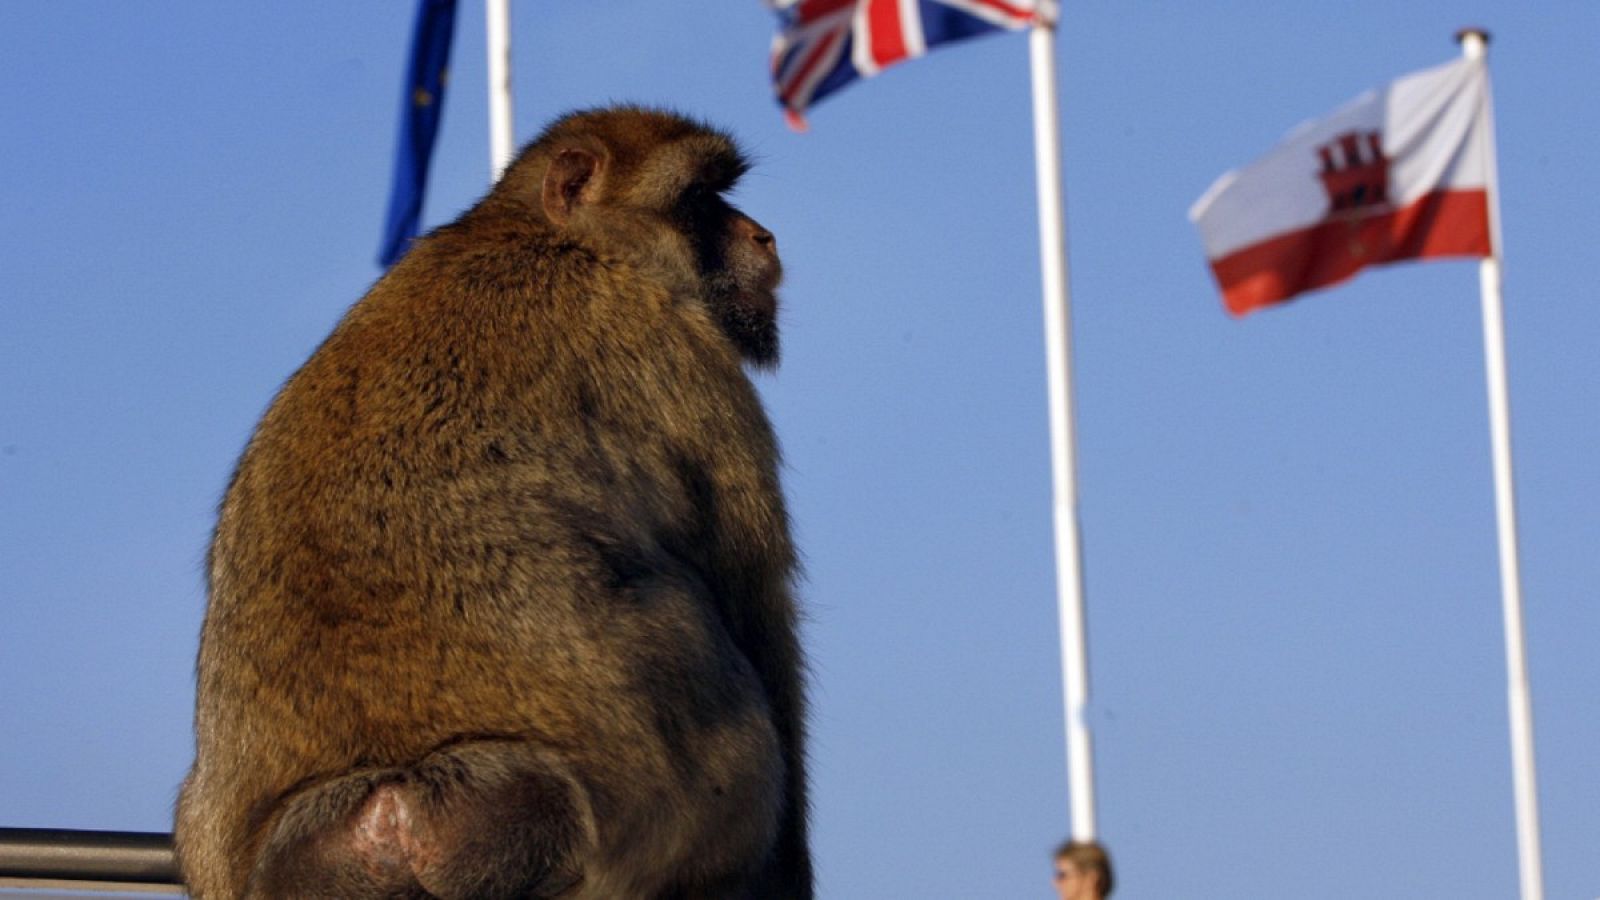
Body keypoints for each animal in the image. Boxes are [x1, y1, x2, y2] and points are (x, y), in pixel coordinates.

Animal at [175, 106, 812, 896]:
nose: (762, 236)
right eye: (699, 199)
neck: (543, 235)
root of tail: (396, 802)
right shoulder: (683, 347)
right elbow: (755, 598)